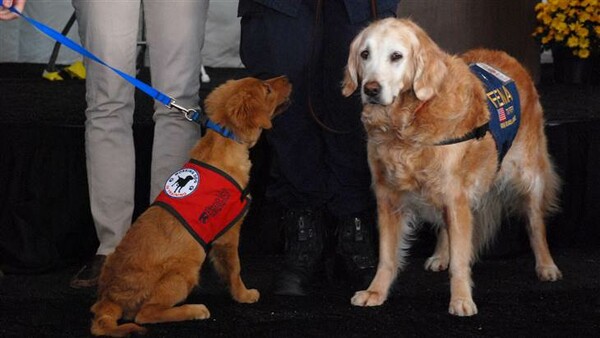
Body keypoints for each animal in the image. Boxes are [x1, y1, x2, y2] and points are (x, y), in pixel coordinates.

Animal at [89, 75, 292, 336]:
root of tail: (109, 298)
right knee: (147, 313)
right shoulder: (228, 234)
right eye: (266, 89)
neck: (225, 142)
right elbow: (235, 268)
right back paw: (194, 310)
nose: (287, 77)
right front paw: (244, 295)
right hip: (185, 269)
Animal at [342, 17, 564, 316]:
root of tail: (507, 57)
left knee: (535, 222)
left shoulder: (455, 195)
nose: (371, 89)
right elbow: (387, 256)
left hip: (529, 174)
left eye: (396, 56)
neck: (408, 125)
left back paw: (546, 265)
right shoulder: (389, 197)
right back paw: (440, 255)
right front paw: (375, 291)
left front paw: (461, 299)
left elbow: (461, 259)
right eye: (365, 54)